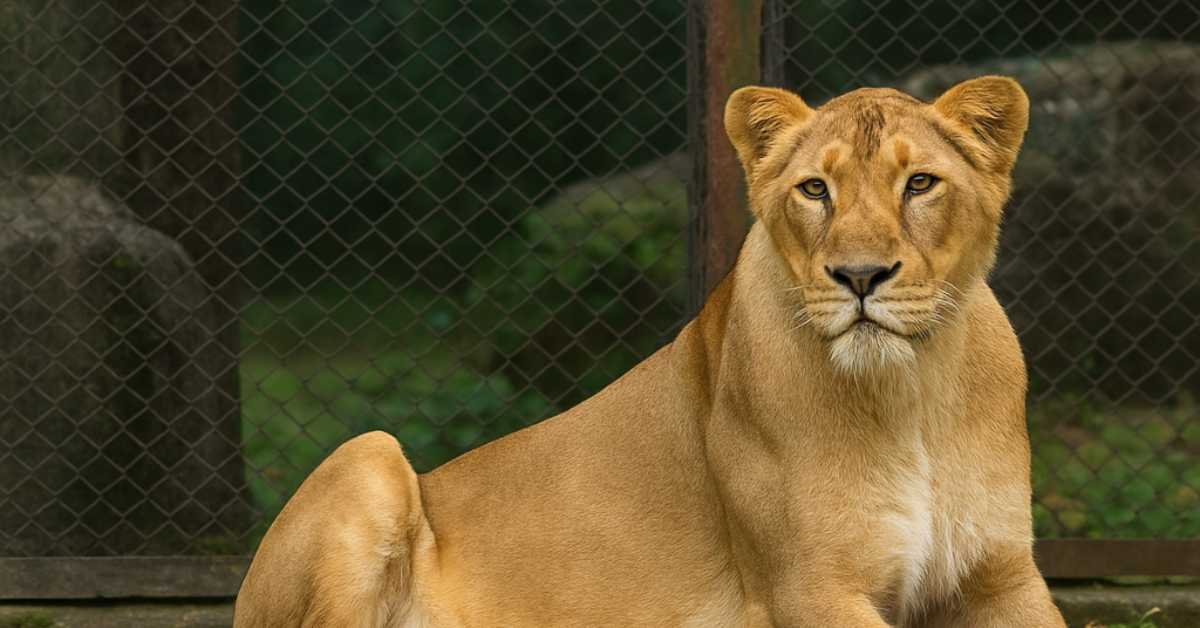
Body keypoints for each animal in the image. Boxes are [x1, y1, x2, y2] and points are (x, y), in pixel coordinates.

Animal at [234, 77, 1066, 627]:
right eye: (815, 190)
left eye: (920, 183)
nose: (860, 276)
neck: (912, 391)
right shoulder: (812, 585)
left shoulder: (1003, 577)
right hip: (369, 453)